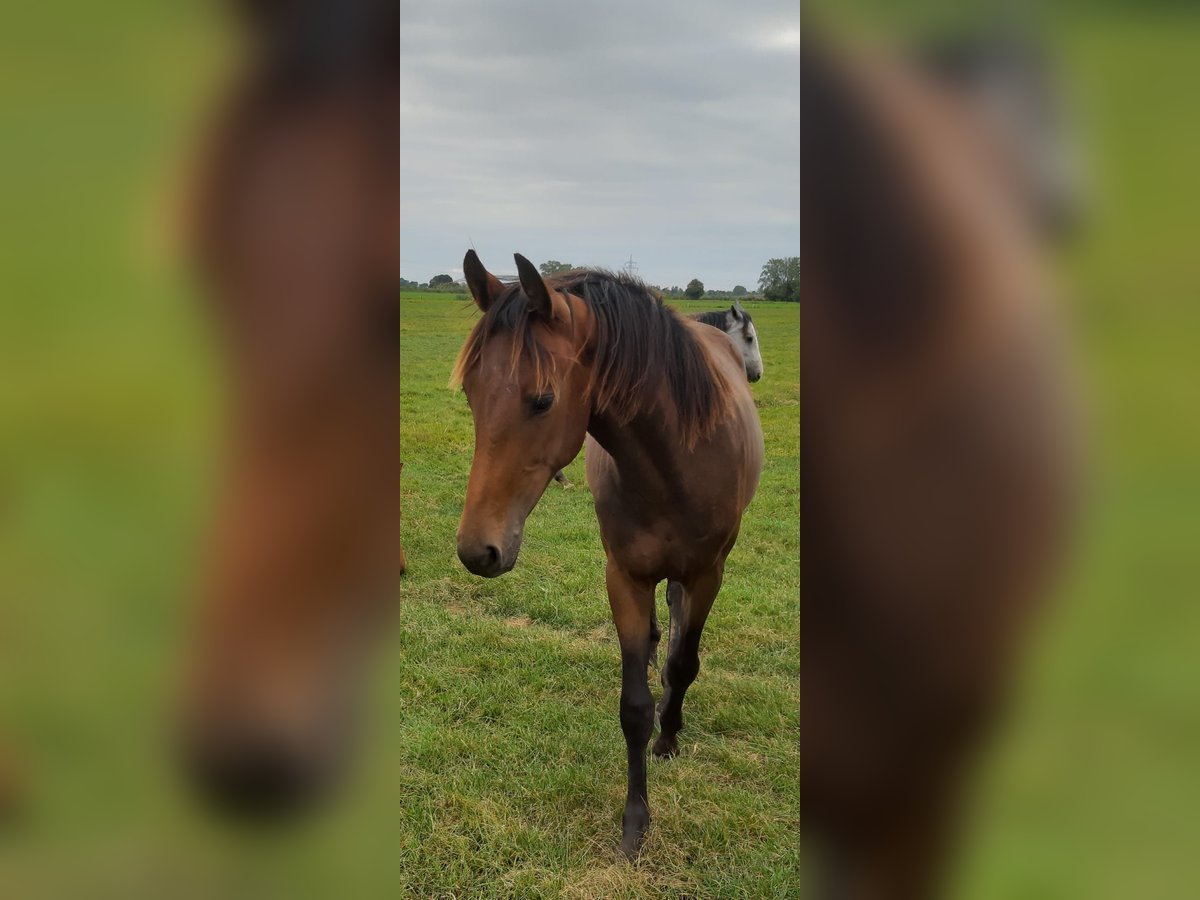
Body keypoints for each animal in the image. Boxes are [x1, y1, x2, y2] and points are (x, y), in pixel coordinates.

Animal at [453, 252, 763, 859]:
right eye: (472, 394)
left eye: (543, 399)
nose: (478, 550)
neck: (677, 461)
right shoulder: (624, 577)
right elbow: (633, 706)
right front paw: (635, 820)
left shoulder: (709, 574)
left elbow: (685, 664)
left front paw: (669, 736)